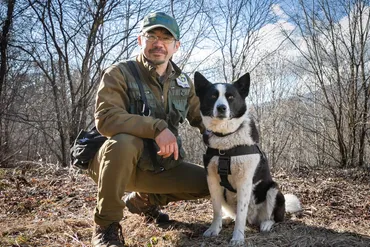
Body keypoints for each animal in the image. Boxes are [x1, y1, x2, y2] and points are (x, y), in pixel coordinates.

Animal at [194, 71, 300, 245]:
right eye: (213, 96)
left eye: (230, 97)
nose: (221, 108)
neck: (226, 138)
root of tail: (253, 219)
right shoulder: (212, 179)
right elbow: (216, 209)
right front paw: (214, 228)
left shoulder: (244, 181)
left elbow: (241, 214)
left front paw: (237, 237)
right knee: (233, 214)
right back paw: (226, 219)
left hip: (273, 189)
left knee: (273, 217)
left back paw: (266, 224)